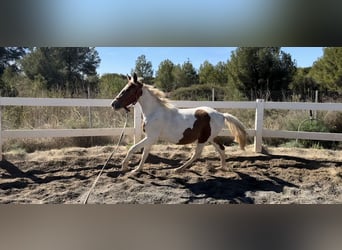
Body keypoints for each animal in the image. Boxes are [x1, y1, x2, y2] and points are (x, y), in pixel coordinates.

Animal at [111, 73, 247, 173]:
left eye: (129, 89)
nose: (114, 104)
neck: (154, 112)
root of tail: (221, 115)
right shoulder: (149, 138)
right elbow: (144, 154)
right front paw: (137, 169)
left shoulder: (151, 137)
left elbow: (133, 149)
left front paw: (125, 167)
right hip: (211, 138)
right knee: (221, 149)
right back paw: (221, 167)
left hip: (204, 139)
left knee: (197, 154)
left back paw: (178, 169)